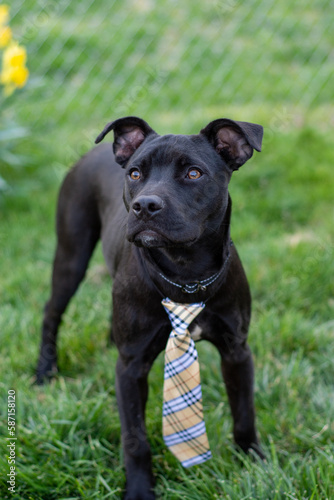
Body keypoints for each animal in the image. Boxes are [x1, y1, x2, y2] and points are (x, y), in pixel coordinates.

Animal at [36, 116, 264, 496]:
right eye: (134, 174)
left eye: (193, 173)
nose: (145, 206)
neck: (185, 274)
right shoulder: (130, 369)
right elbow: (135, 439)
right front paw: (140, 490)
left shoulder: (237, 351)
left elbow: (244, 412)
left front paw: (254, 462)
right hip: (71, 255)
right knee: (51, 314)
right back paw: (44, 372)